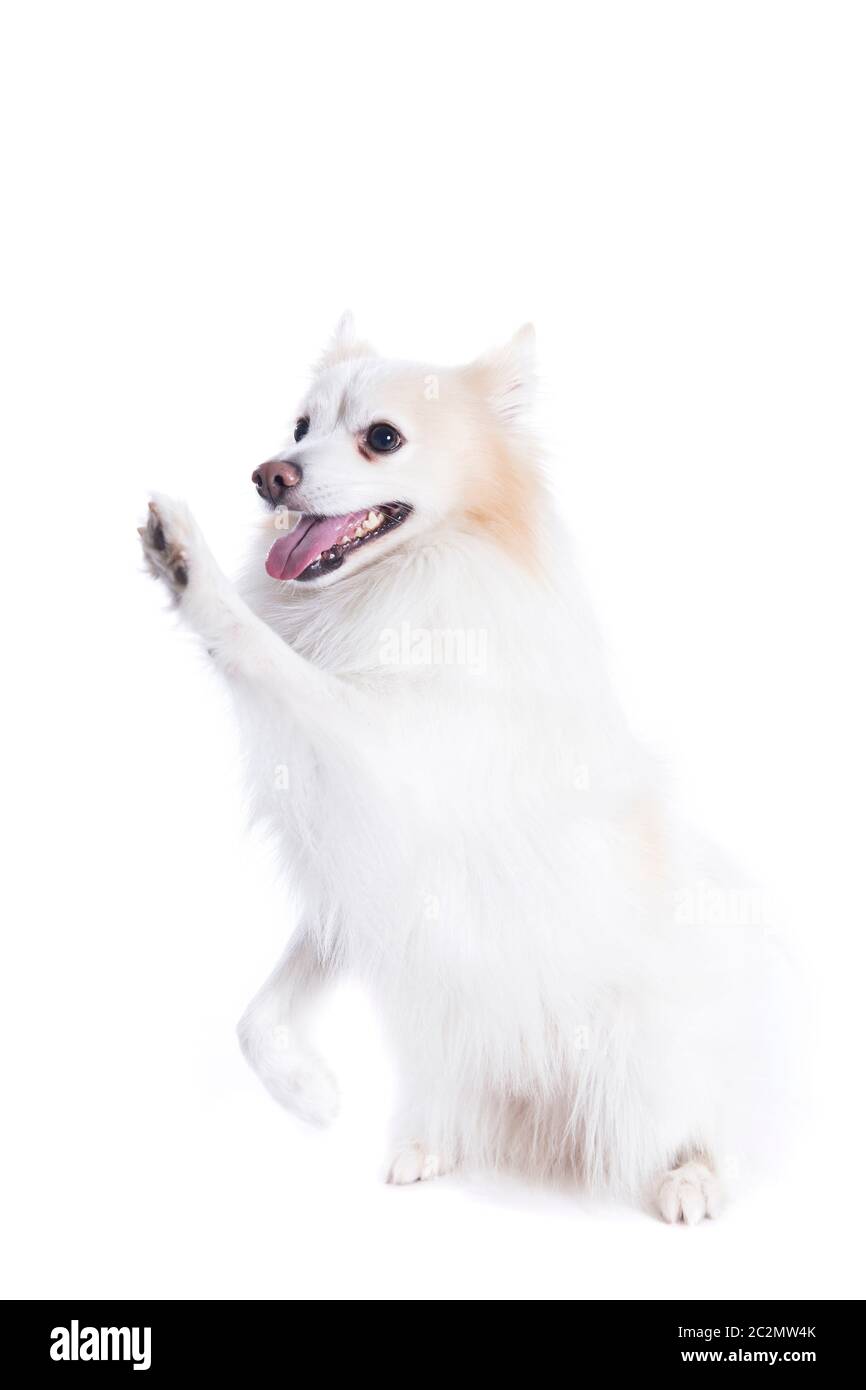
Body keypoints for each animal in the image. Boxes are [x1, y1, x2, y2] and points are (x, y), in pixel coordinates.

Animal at [142, 315, 783, 1217]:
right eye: (298, 428)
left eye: (382, 438)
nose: (269, 476)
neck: (411, 581)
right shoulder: (363, 870)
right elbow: (258, 1016)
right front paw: (309, 1094)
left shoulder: (380, 760)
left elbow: (267, 653)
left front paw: (190, 569)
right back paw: (433, 1144)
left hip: (650, 1063)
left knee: (711, 1121)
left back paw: (693, 1176)